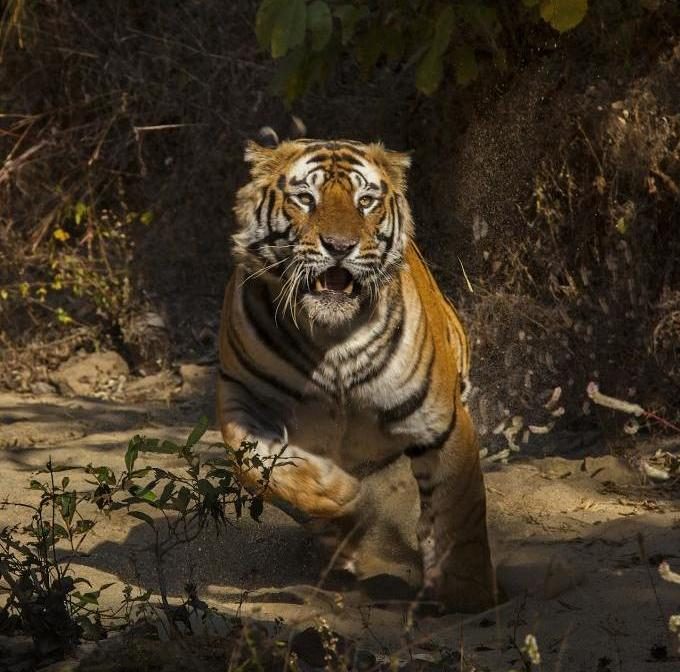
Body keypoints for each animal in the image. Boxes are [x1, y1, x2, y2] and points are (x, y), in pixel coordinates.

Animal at [220, 136, 496, 616]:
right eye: (305, 198)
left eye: (365, 201)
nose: (339, 246)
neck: (331, 341)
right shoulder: (242, 398)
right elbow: (256, 466)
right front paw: (343, 498)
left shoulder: (440, 421)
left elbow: (458, 510)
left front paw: (468, 596)